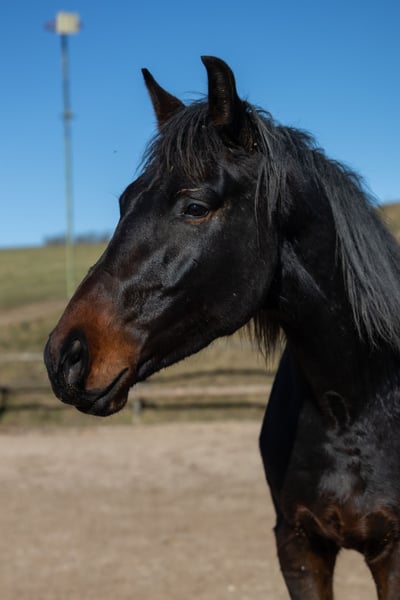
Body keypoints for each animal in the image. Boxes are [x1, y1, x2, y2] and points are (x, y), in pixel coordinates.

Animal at [44, 56, 400, 599]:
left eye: (195, 206)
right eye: (125, 201)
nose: (65, 356)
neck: (354, 401)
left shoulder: (393, 554)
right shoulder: (299, 546)